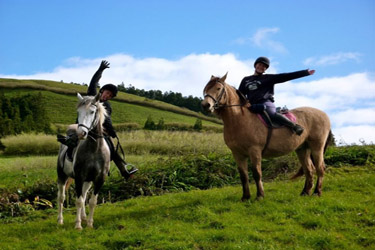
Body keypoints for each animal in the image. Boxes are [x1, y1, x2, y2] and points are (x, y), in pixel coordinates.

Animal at [203, 73, 332, 200]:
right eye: (206, 89)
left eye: (218, 88)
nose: (205, 105)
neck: (239, 120)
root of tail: (324, 114)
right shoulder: (237, 154)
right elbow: (243, 176)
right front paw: (246, 197)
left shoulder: (254, 150)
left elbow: (256, 173)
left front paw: (260, 195)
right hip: (302, 149)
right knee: (309, 170)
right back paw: (305, 192)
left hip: (317, 147)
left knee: (320, 168)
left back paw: (316, 192)